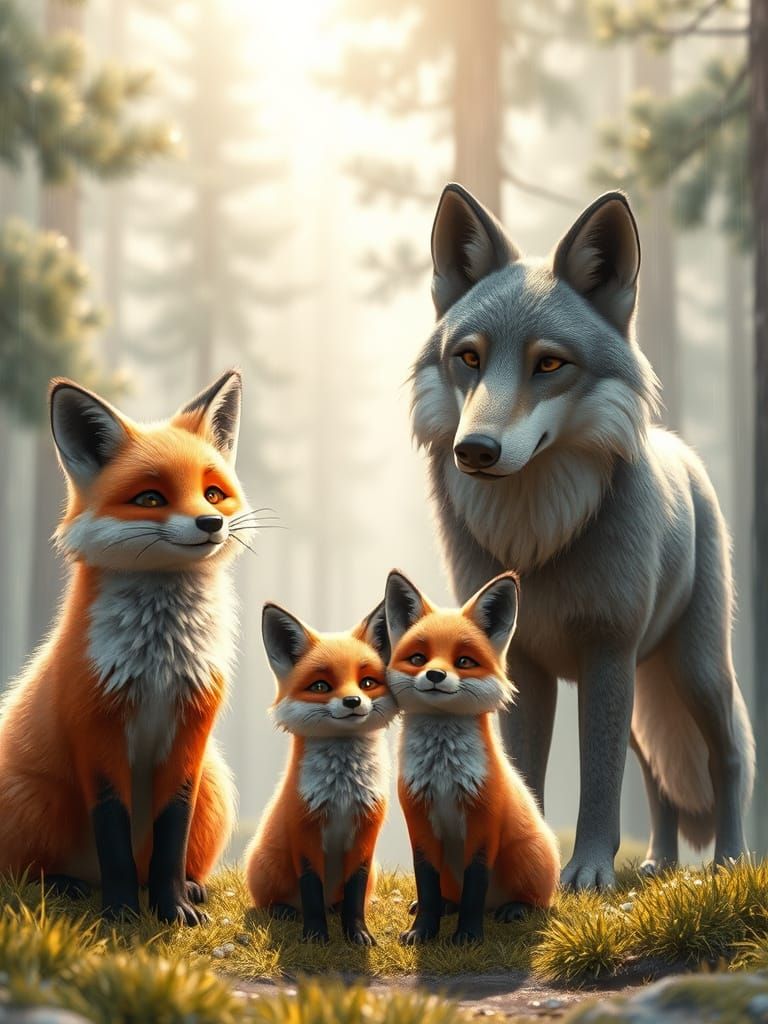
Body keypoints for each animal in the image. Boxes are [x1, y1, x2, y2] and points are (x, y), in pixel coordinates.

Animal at [0, 369, 251, 923]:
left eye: (213, 493)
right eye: (151, 499)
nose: (211, 524)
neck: (159, 662)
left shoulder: (191, 730)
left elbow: (172, 833)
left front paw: (171, 906)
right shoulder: (96, 726)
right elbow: (112, 832)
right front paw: (119, 913)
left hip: (215, 785)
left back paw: (189, 887)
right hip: (38, 798)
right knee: (24, 874)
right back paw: (69, 886)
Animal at [246, 601, 396, 945]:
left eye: (367, 682)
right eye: (320, 686)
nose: (353, 701)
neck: (342, 793)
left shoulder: (366, 832)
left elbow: (355, 893)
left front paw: (357, 934)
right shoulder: (305, 830)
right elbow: (311, 889)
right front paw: (315, 935)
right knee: (276, 902)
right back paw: (285, 911)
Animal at [385, 569, 559, 946]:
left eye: (464, 661)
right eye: (418, 659)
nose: (435, 675)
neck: (443, 775)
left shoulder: (483, 819)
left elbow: (476, 886)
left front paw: (467, 936)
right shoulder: (419, 819)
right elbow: (426, 882)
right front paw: (422, 930)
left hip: (523, 856)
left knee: (532, 900)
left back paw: (516, 908)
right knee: (448, 892)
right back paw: (445, 905)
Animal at [410, 182, 755, 890]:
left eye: (548, 363)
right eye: (468, 358)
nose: (475, 450)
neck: (536, 542)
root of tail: (686, 454)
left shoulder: (605, 650)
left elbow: (598, 780)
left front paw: (590, 875)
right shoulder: (525, 664)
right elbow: (524, 772)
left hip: (693, 672)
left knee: (726, 757)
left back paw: (729, 862)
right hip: (644, 692)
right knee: (660, 780)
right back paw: (659, 866)